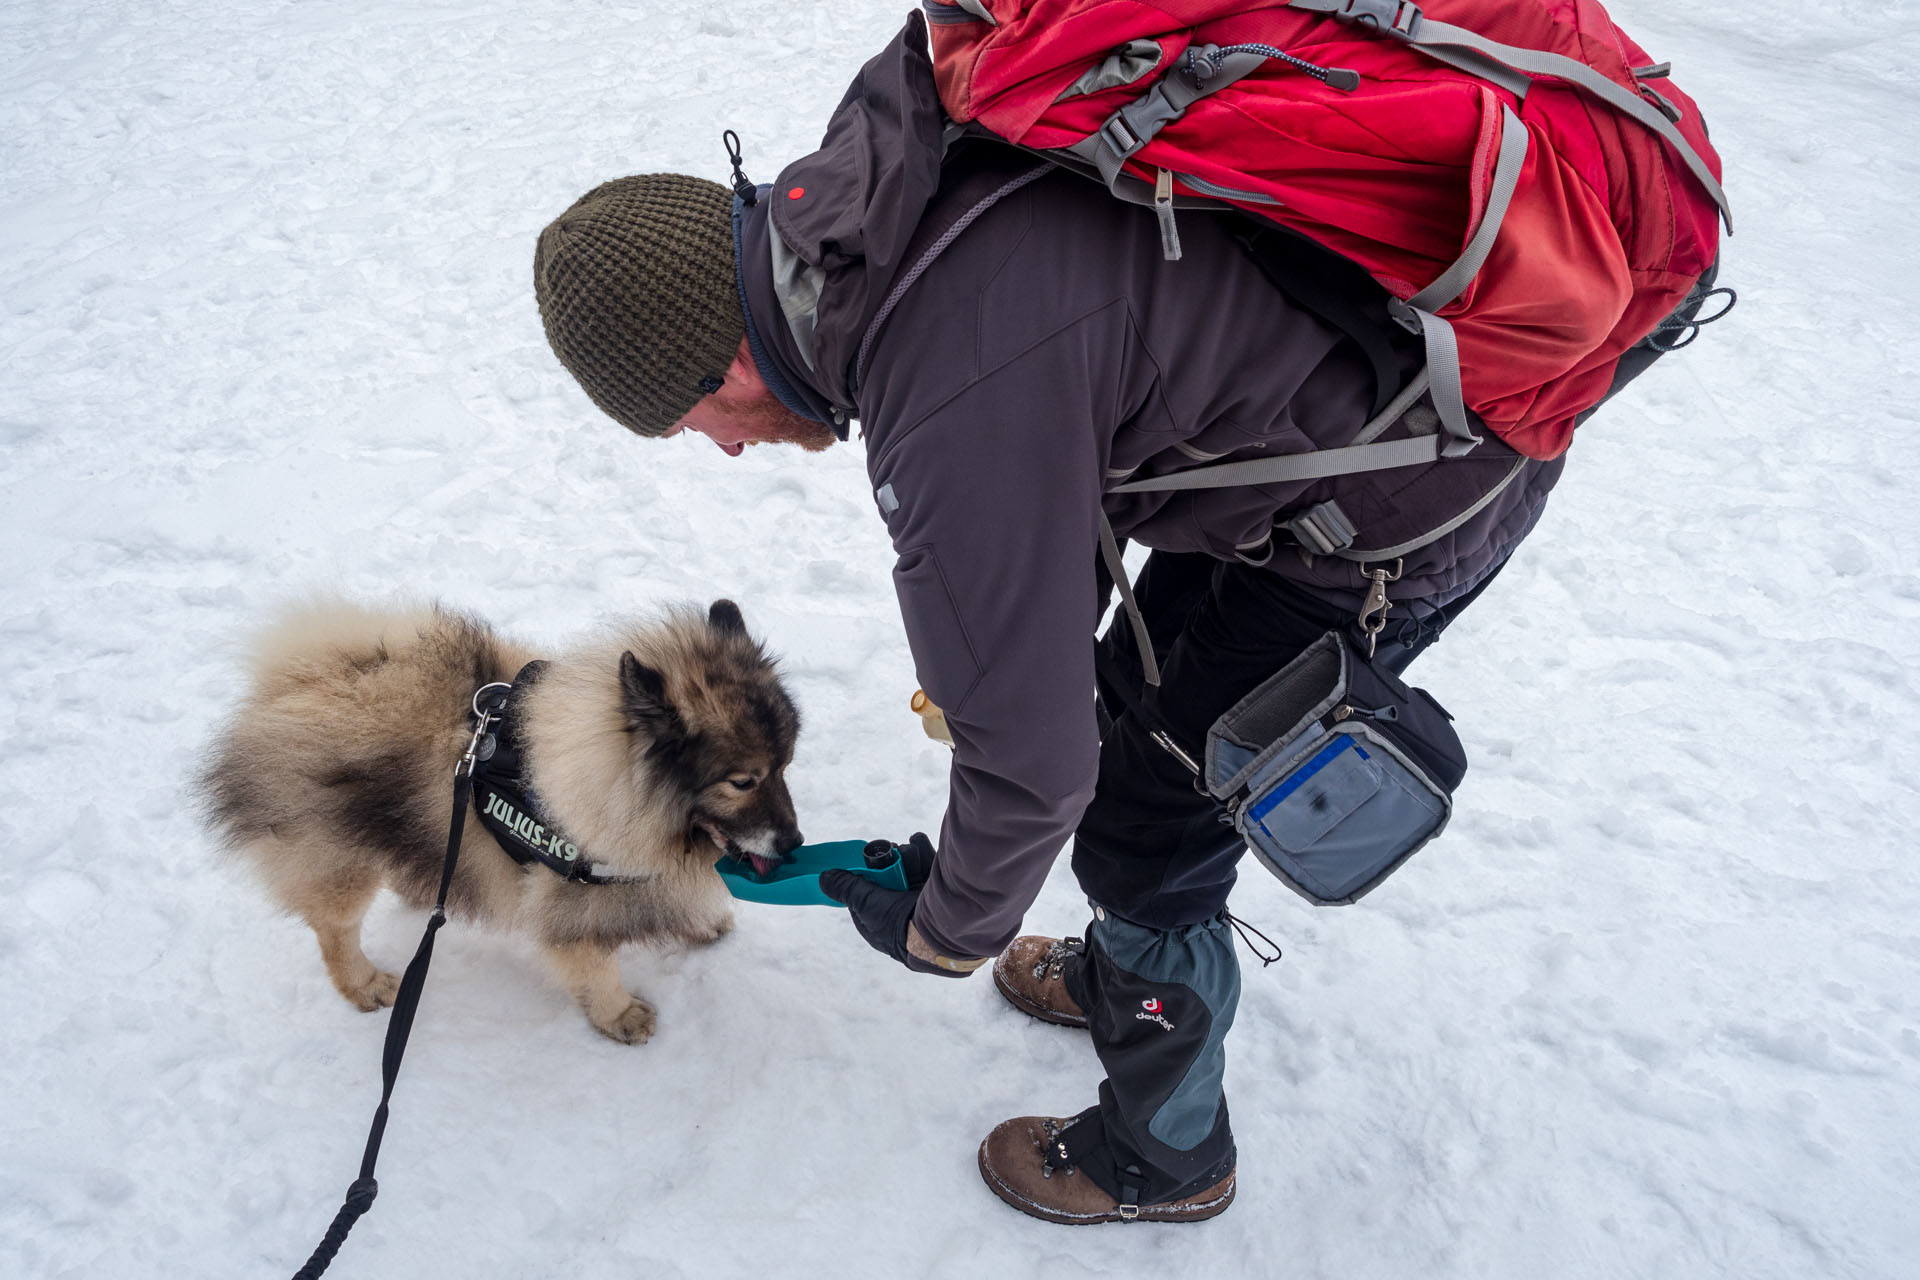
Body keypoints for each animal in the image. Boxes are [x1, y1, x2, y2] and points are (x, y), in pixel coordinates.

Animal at [192, 594, 794, 1043]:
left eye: (786, 765)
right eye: (743, 782)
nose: (793, 842)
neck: (609, 777)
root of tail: (295, 679)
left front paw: (702, 924)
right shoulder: (568, 901)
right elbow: (594, 968)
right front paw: (619, 1015)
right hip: (337, 858)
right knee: (335, 930)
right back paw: (364, 984)